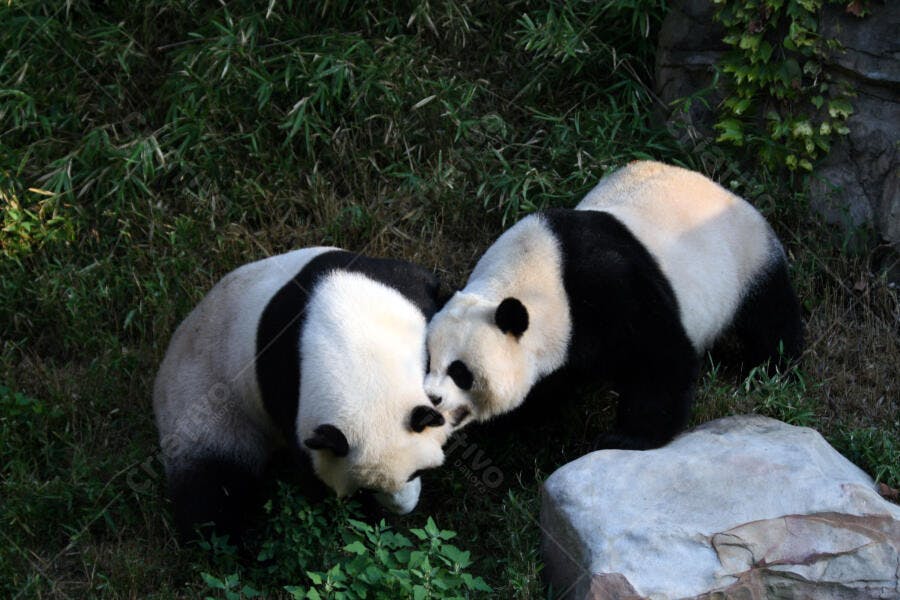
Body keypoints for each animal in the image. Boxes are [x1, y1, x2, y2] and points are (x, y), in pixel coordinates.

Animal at [153, 247, 452, 540]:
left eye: (418, 472)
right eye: (366, 490)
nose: (404, 508)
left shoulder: (395, 285)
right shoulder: (285, 384)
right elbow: (312, 474)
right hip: (203, 405)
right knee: (213, 493)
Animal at [424, 161, 803, 450]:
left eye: (460, 371)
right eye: (426, 360)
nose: (431, 397)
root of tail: (723, 189)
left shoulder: (608, 288)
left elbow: (660, 357)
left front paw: (624, 438)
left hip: (747, 258)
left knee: (771, 318)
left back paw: (769, 369)